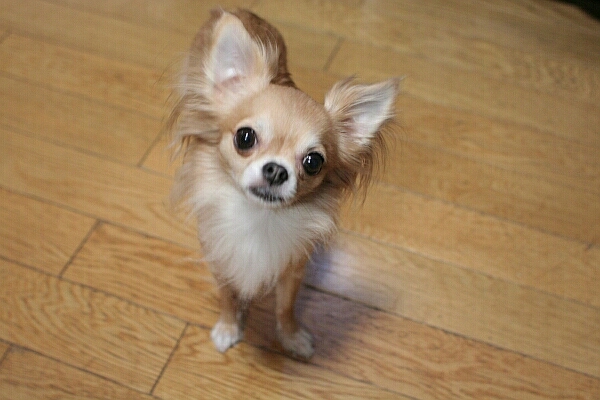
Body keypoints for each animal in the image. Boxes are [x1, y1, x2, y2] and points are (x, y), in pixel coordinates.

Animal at [168, 8, 398, 359]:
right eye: (244, 137)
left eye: (313, 162)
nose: (277, 171)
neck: (259, 218)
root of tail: (239, 11)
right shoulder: (220, 257)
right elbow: (227, 296)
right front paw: (228, 327)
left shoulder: (293, 269)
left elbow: (284, 306)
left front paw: (290, 337)